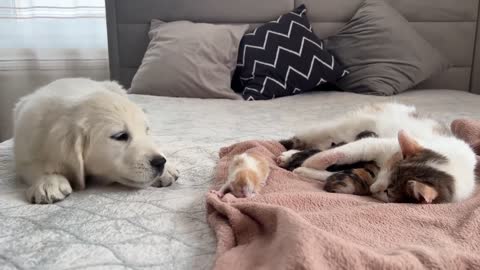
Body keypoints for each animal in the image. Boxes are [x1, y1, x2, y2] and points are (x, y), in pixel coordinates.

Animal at [13, 77, 179, 202]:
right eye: (120, 136)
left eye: (146, 131)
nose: (160, 162)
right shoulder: (24, 149)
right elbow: (35, 166)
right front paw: (49, 181)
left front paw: (167, 169)